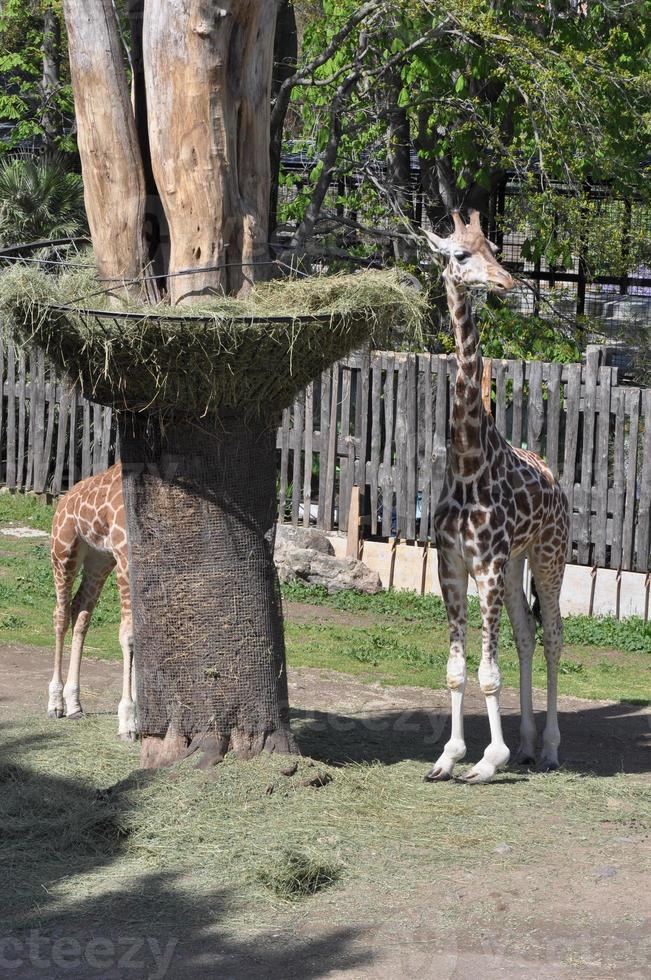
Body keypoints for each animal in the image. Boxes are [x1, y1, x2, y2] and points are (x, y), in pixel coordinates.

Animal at [48, 464, 138, 740]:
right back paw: (55, 703)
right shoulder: (126, 558)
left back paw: (75, 705)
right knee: (61, 614)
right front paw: (128, 722)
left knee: (80, 611)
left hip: (99, 559)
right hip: (63, 552)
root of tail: (64, 497)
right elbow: (129, 636)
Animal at [422, 211, 572, 784]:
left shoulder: (485, 566)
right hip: (516, 564)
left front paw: (489, 760)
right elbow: (456, 670)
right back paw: (528, 745)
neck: (467, 463)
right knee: (528, 636)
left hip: (550, 556)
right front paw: (449, 755)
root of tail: (556, 481)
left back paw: (548, 748)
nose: (506, 281)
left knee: (552, 635)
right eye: (461, 255)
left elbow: (489, 673)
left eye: (492, 247)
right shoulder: (453, 565)